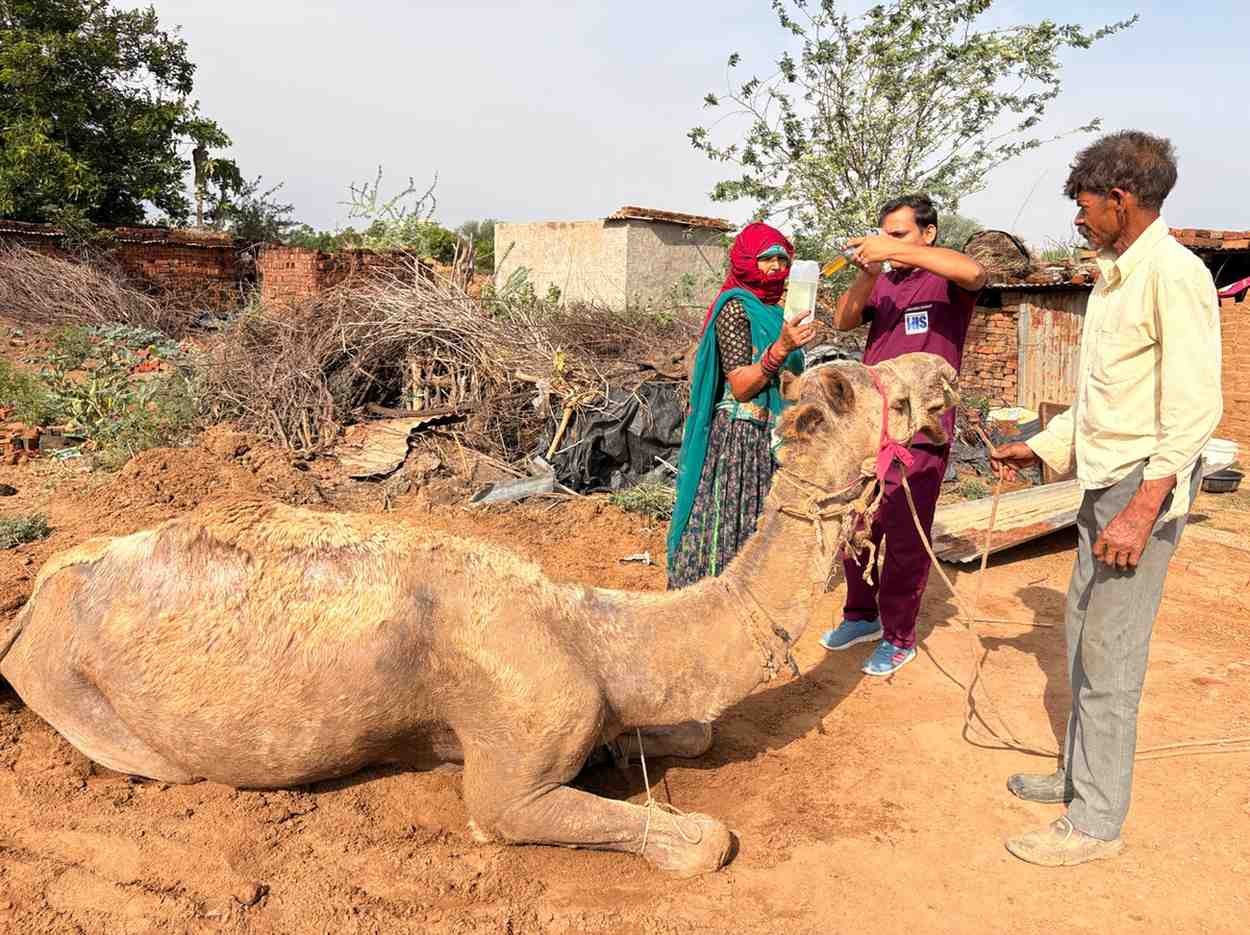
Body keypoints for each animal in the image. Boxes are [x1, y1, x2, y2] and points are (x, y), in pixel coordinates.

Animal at [0, 352, 956, 876]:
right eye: (878, 391)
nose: (945, 373)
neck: (598, 635)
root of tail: (32, 600)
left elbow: (692, 730)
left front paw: (639, 748)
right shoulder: (514, 764)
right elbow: (699, 838)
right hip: (77, 694)